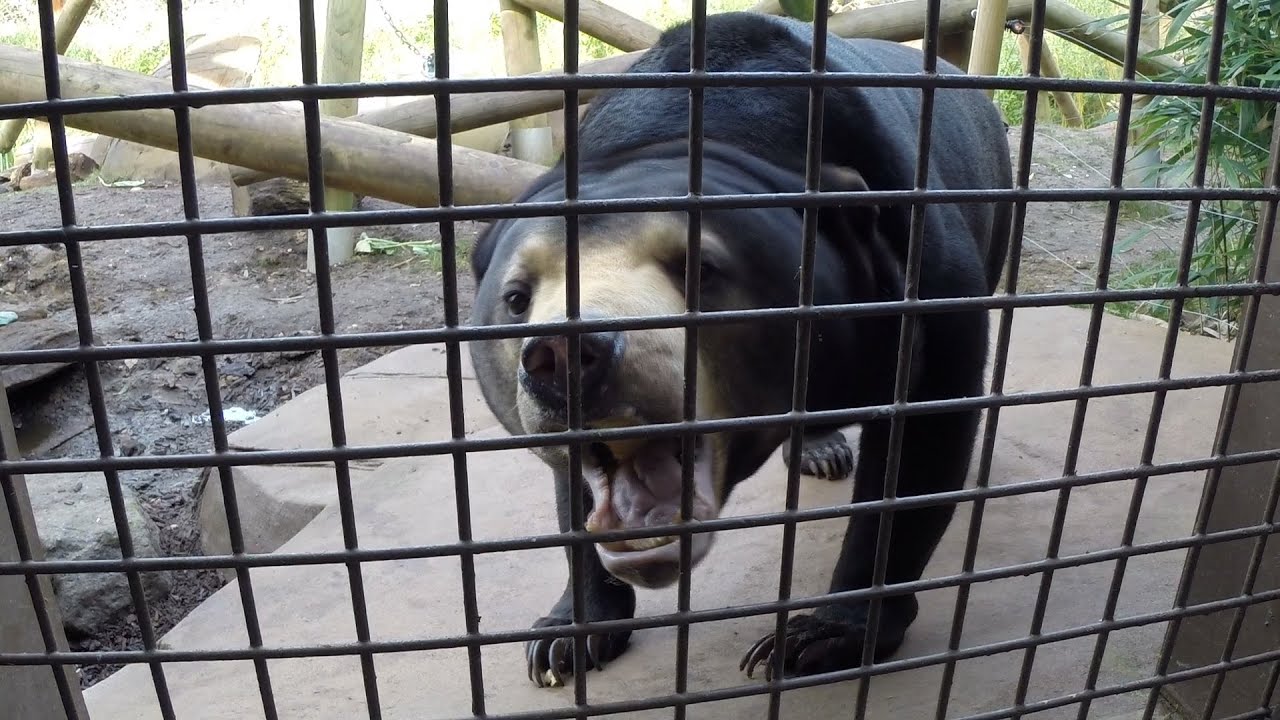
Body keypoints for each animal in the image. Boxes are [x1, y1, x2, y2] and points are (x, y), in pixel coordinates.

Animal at [468, 11, 1012, 687]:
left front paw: (821, 636)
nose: (565, 355)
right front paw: (567, 638)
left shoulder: (919, 272)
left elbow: (921, 440)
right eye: (517, 298)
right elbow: (576, 491)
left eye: (700, 269)